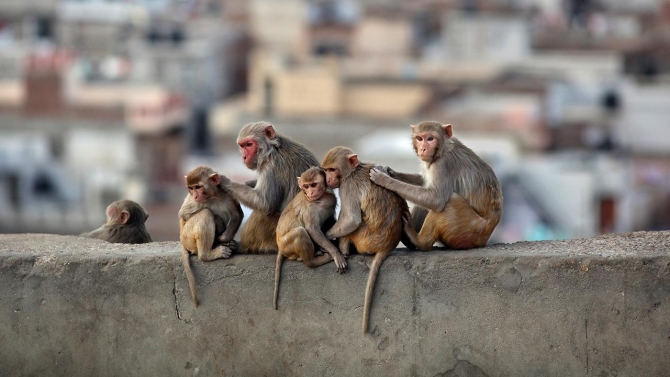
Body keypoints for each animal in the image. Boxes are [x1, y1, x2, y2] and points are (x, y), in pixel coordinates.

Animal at [180, 164, 245, 306]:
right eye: (191, 188)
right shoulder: (193, 202)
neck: (213, 196)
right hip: (187, 236)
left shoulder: (228, 194)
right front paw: (219, 226)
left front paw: (224, 239)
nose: (195, 196)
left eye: (198, 187)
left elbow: (237, 214)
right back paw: (208, 254)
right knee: (205, 213)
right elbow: (184, 215)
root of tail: (182, 241)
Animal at [217, 122, 318, 254]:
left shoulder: (271, 166)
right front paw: (244, 184)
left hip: (282, 239)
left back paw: (242, 247)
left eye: (249, 145)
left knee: (263, 212)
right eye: (242, 145)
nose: (244, 156)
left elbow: (264, 203)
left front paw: (225, 182)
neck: (272, 149)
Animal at [272, 167, 346, 308]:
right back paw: (313, 261)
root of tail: (279, 246)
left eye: (314, 185)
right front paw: (335, 253)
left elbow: (330, 220)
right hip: (286, 245)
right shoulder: (309, 209)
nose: (310, 192)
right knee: (300, 232)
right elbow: (312, 230)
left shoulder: (331, 200)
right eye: (306, 186)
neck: (321, 199)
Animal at [322, 146, 410, 332]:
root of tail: (388, 244)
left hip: (365, 239)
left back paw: (344, 251)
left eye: (332, 170)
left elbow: (352, 219)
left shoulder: (347, 186)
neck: (352, 171)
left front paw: (325, 238)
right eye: (325, 170)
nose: (328, 178)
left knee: (353, 225)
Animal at [368, 120, 504, 250]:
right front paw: (390, 172)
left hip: (468, 230)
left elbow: (435, 199)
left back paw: (418, 240)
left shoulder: (443, 164)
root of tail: (484, 239)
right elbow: (424, 181)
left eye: (430, 139)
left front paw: (384, 180)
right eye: (419, 138)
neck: (443, 149)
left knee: (450, 200)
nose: (423, 149)